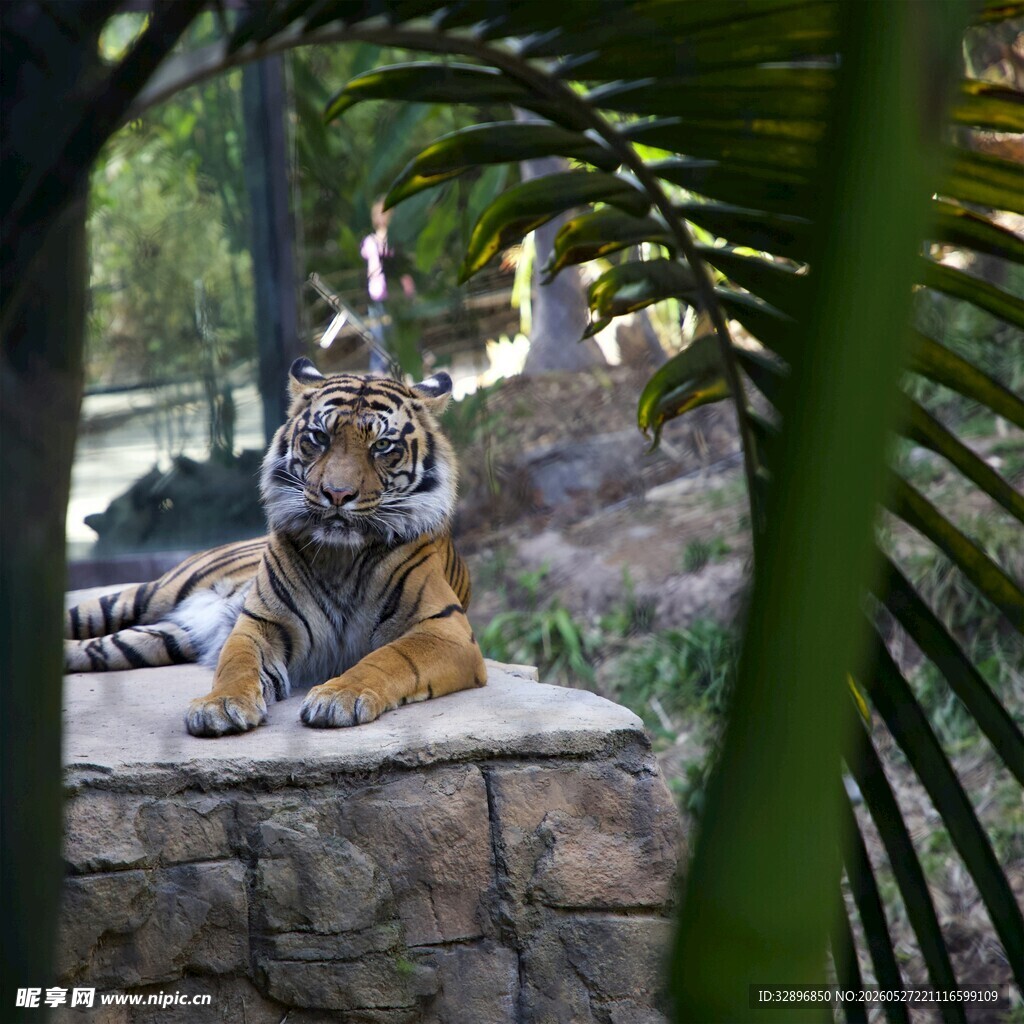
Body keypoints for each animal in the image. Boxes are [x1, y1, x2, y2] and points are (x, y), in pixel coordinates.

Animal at [64, 358, 487, 737]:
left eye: (382, 445)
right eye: (319, 438)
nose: (337, 494)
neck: (342, 556)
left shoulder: (445, 630)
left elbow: (388, 659)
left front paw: (339, 696)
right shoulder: (261, 622)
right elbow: (237, 664)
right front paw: (220, 705)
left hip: (158, 639)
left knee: (93, 649)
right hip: (145, 596)